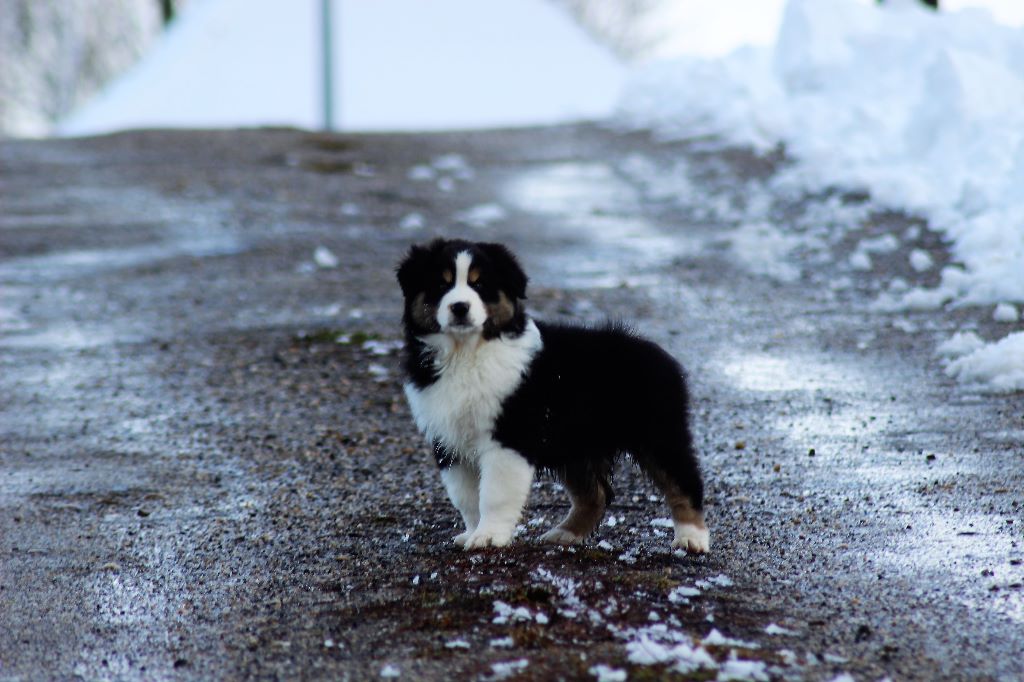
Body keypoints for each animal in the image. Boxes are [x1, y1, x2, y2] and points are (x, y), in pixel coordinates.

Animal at [395, 238, 708, 552]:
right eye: (440, 284)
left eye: (480, 284)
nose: (460, 307)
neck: (466, 352)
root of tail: (656, 351)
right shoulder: (449, 441)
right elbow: (466, 497)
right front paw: (472, 533)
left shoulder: (508, 437)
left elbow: (494, 494)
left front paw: (488, 537)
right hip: (576, 443)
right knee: (595, 494)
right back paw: (566, 533)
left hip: (659, 433)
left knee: (684, 481)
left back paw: (692, 538)